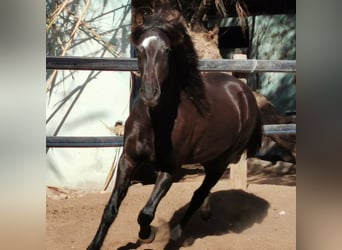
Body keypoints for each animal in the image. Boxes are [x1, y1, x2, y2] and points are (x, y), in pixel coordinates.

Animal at [88, 14, 262, 250]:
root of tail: (245, 92)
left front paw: (148, 235)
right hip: (210, 156)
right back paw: (205, 213)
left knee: (199, 193)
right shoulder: (128, 160)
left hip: (222, 161)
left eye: (167, 50)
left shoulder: (169, 169)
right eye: (140, 49)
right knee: (203, 192)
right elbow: (110, 209)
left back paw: (178, 231)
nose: (150, 93)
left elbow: (146, 213)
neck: (153, 124)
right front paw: (94, 245)